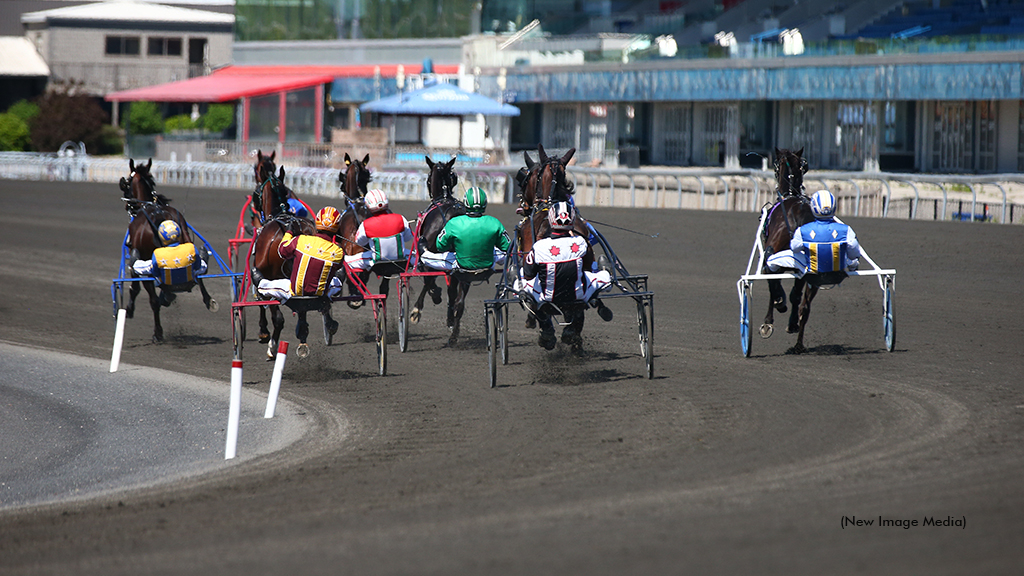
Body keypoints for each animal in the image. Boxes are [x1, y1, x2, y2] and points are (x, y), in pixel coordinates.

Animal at [119, 156, 216, 340]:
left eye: (126, 183)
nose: (127, 205)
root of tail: (159, 216)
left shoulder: (138, 257)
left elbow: (135, 287)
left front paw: (129, 309)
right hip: (186, 237)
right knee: (197, 271)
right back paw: (207, 299)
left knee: (153, 300)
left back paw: (158, 331)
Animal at [761, 145, 815, 350]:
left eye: (775, 164)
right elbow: (796, 294)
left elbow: (772, 281)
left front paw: (769, 320)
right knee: (800, 299)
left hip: (773, 252)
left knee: (771, 275)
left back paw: (779, 303)